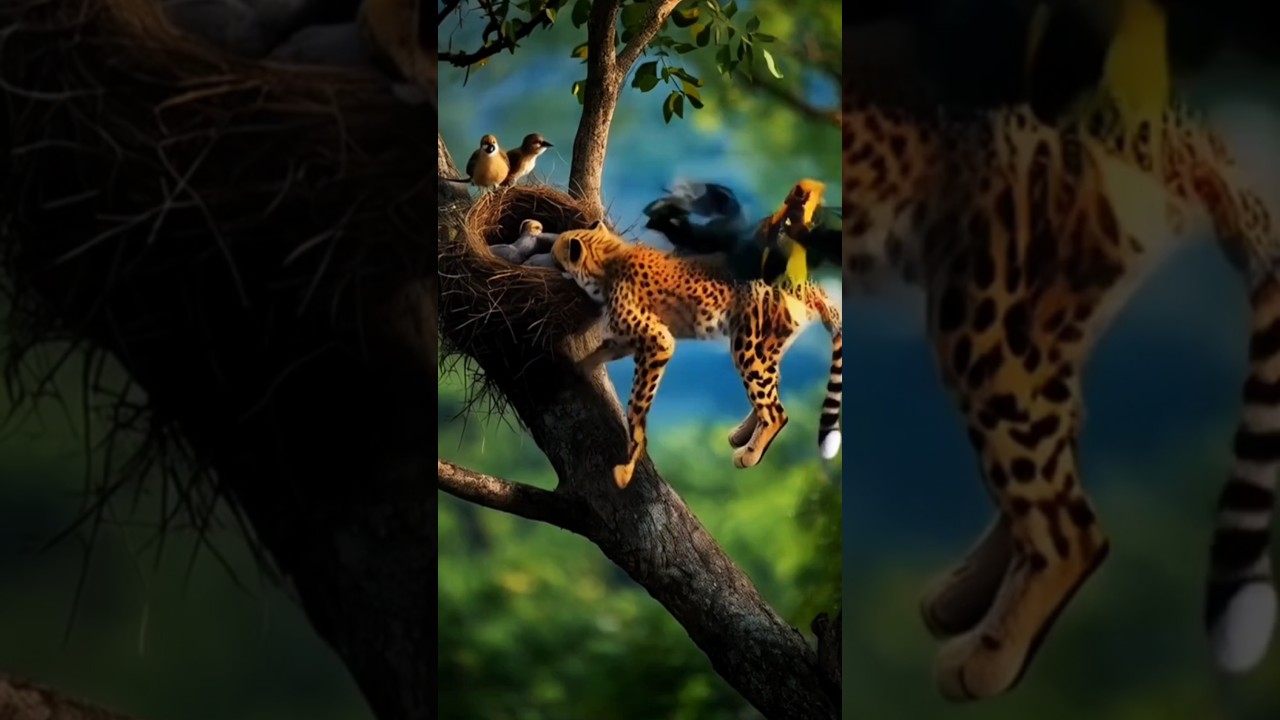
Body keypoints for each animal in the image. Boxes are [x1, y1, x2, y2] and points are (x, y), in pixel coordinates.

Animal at [550, 221, 844, 490]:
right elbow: (597, 353)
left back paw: (749, 454)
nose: (550, 260)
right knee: (772, 387)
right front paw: (576, 366)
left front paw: (627, 467)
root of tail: (810, 284)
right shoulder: (627, 339)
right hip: (766, 347)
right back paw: (742, 435)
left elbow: (637, 405)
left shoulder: (658, 341)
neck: (608, 259)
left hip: (747, 346)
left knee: (776, 410)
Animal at [842, 90, 1280, 701]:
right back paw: (960, 599)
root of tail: (1186, 121)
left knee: (1069, 519)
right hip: (1044, 315)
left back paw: (987, 657)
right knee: (1054, 440)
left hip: (983, 308)